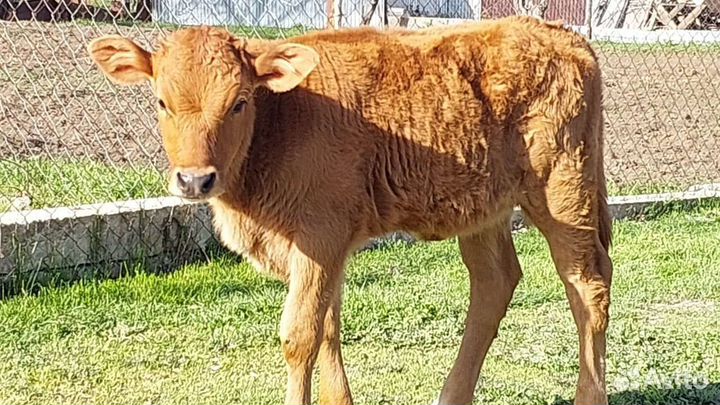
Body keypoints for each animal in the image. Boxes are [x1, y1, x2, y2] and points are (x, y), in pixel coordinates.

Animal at [87, 15, 613, 405]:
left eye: (239, 102)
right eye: (161, 101)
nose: (195, 179)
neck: (283, 118)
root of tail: (560, 34)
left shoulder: (320, 235)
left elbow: (299, 334)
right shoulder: (322, 249)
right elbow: (327, 325)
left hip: (564, 190)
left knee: (587, 286)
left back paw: (588, 394)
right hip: (483, 208)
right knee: (495, 283)